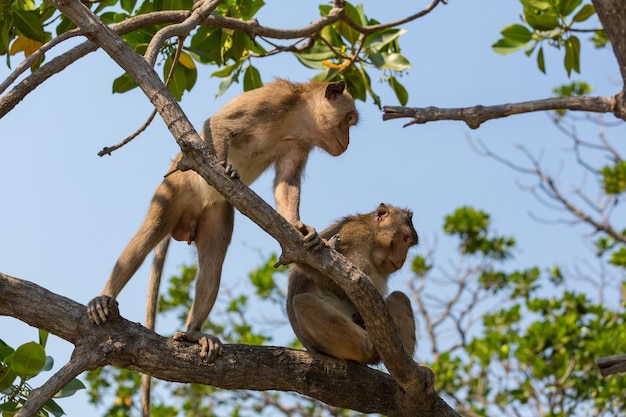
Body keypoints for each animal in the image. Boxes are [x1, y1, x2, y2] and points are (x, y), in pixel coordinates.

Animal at [86, 79, 358, 360]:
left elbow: (286, 182)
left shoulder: (299, 144)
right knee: (146, 236)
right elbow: (219, 125)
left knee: (213, 262)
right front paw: (225, 166)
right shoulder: (271, 100)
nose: (348, 142)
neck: (298, 118)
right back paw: (105, 296)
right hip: (173, 191)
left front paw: (299, 227)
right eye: (349, 119)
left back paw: (193, 333)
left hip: (216, 213)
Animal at [286, 202, 416, 364]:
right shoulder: (353, 233)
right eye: (404, 238)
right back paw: (368, 346)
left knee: (400, 297)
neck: (373, 241)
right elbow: (310, 264)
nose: (402, 259)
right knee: (302, 302)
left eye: (409, 243)